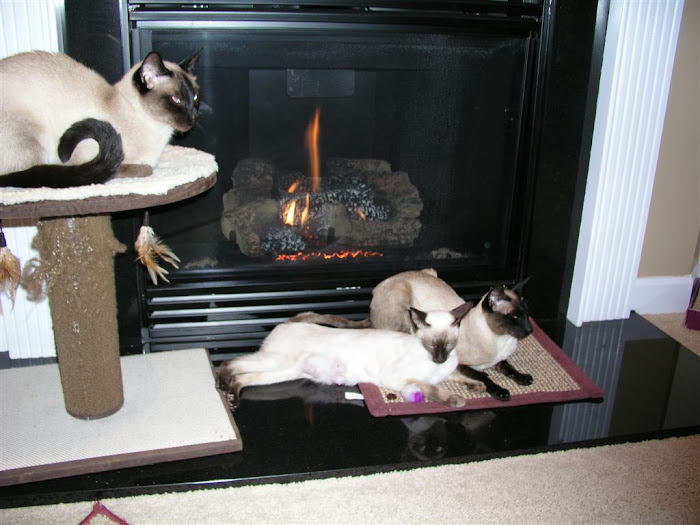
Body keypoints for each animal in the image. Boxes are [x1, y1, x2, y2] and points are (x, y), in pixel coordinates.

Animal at [216, 304, 484, 408]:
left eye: (448, 345)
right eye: (429, 345)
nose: (439, 359)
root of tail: (291, 320)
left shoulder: (448, 370)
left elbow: (460, 376)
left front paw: (478, 386)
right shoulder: (400, 378)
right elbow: (431, 388)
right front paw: (456, 400)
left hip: (284, 372)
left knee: (243, 379)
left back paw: (233, 397)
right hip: (276, 361)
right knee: (230, 363)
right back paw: (223, 386)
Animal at [292, 268, 532, 400]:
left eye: (526, 313)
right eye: (515, 317)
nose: (530, 330)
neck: (500, 340)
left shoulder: (498, 360)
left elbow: (508, 367)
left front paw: (523, 378)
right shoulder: (462, 363)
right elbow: (484, 376)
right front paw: (502, 392)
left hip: (431, 271)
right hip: (403, 300)